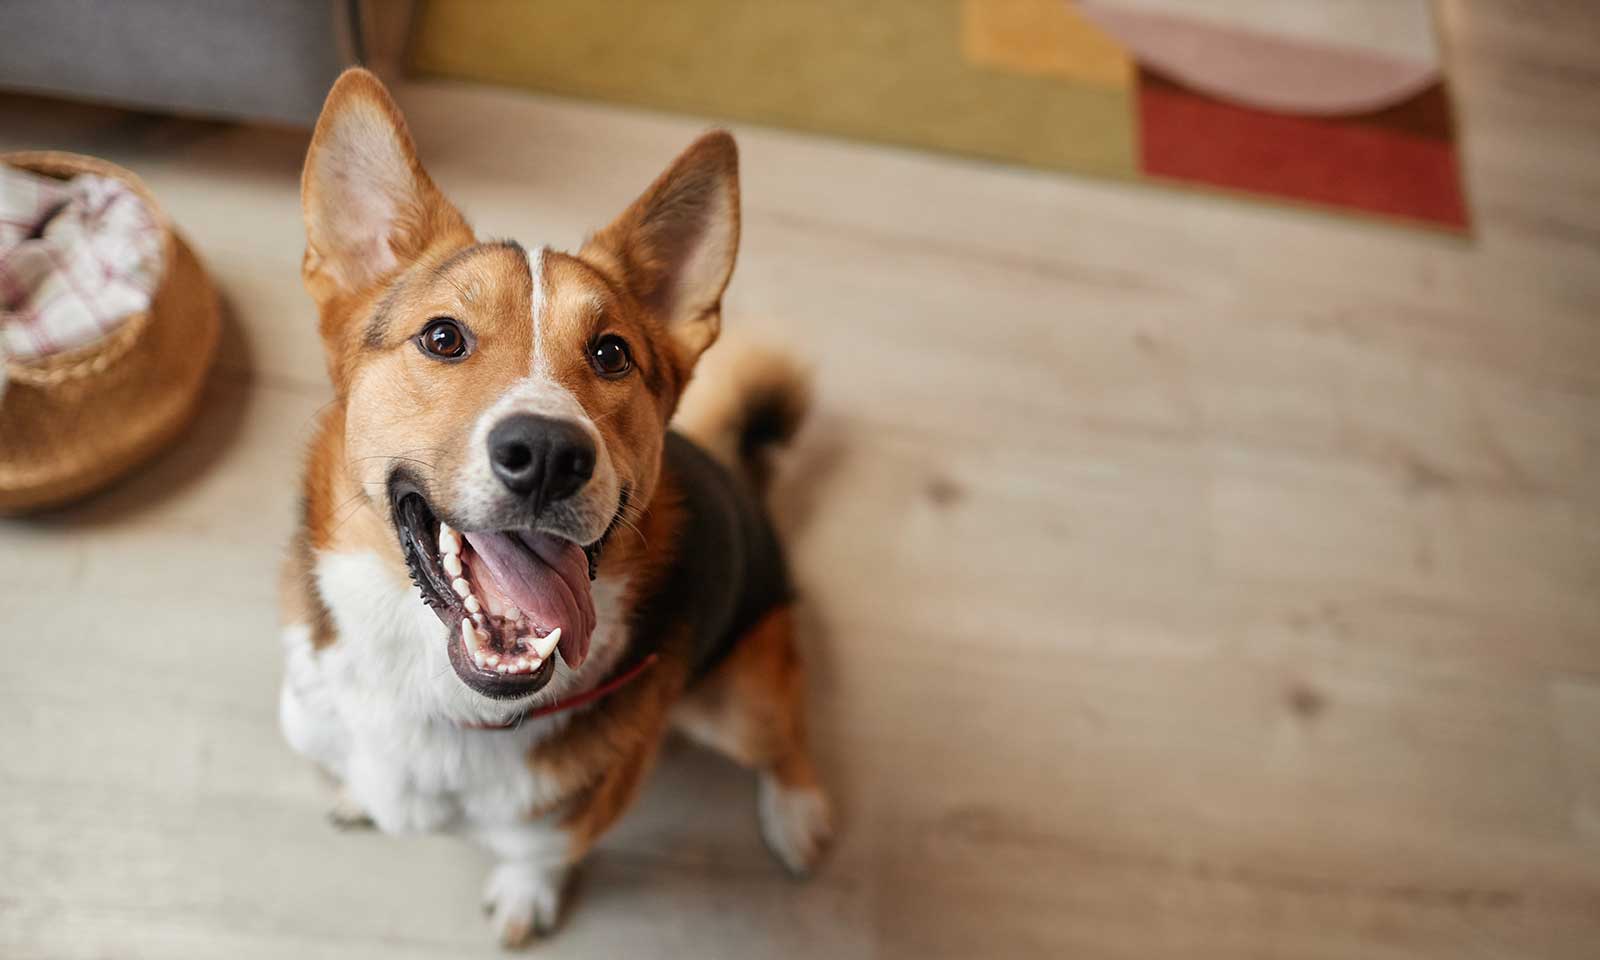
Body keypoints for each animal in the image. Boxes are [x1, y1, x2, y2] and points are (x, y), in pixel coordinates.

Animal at [276, 69, 832, 947]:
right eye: (442, 338)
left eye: (612, 354)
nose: (546, 455)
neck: (439, 699)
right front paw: (359, 798)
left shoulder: (567, 819)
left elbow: (537, 855)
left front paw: (524, 895)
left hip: (739, 695)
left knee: (788, 735)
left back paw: (798, 812)